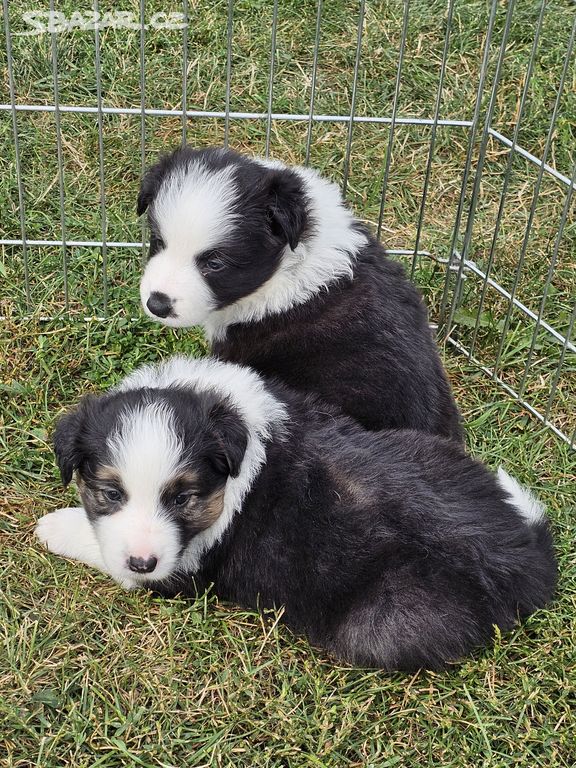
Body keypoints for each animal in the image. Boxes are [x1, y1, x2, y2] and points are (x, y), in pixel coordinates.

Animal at [38, 356, 556, 668]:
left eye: (183, 498)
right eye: (110, 493)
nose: (142, 562)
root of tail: (521, 560)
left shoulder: (180, 570)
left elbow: (103, 549)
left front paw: (51, 526)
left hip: (383, 622)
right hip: (426, 448)